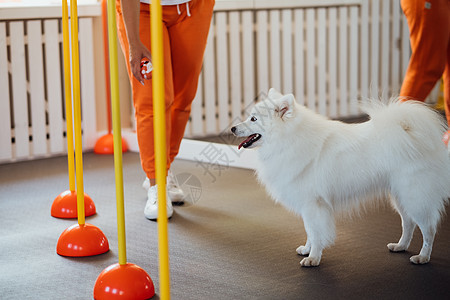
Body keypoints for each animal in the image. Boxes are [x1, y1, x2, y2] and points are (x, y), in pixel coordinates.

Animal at [232, 88, 450, 266]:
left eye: (253, 119)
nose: (233, 128)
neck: (289, 140)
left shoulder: (314, 205)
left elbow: (316, 233)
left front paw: (313, 258)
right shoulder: (308, 206)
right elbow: (310, 231)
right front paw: (307, 250)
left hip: (415, 196)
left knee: (429, 229)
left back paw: (423, 257)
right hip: (400, 197)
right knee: (409, 223)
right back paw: (400, 246)